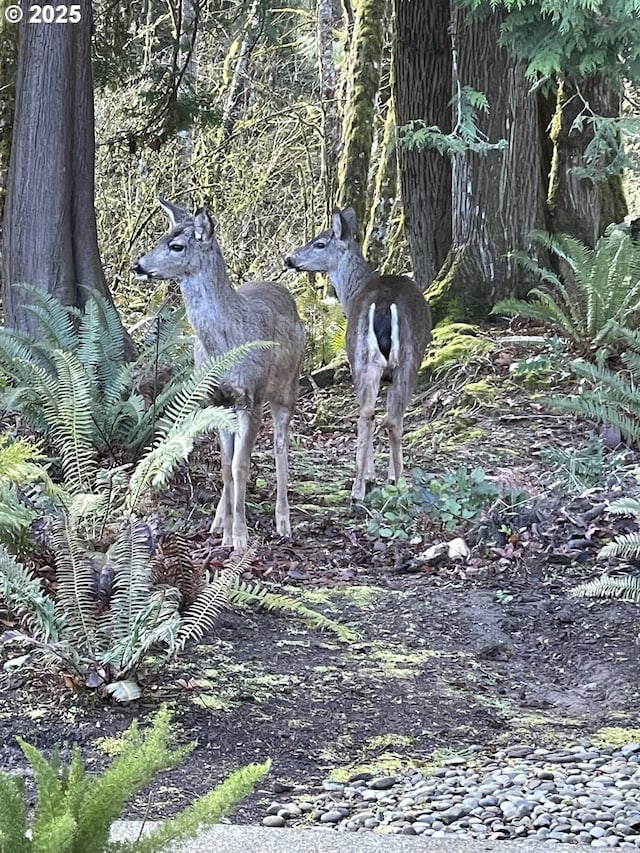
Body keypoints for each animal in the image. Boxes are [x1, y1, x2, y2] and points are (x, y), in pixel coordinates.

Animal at [131, 203, 304, 556]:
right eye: (160, 237)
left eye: (177, 245)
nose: (137, 266)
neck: (225, 345)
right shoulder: (217, 400)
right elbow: (226, 465)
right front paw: (225, 533)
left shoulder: (250, 397)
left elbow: (241, 465)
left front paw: (240, 538)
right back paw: (217, 521)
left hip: (287, 388)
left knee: (281, 447)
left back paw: (283, 523)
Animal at [286, 207, 430, 500]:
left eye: (320, 243)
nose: (289, 259)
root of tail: (385, 304)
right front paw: (382, 477)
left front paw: (374, 477)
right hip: (403, 361)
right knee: (389, 418)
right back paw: (392, 484)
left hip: (364, 358)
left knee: (367, 414)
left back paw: (360, 490)